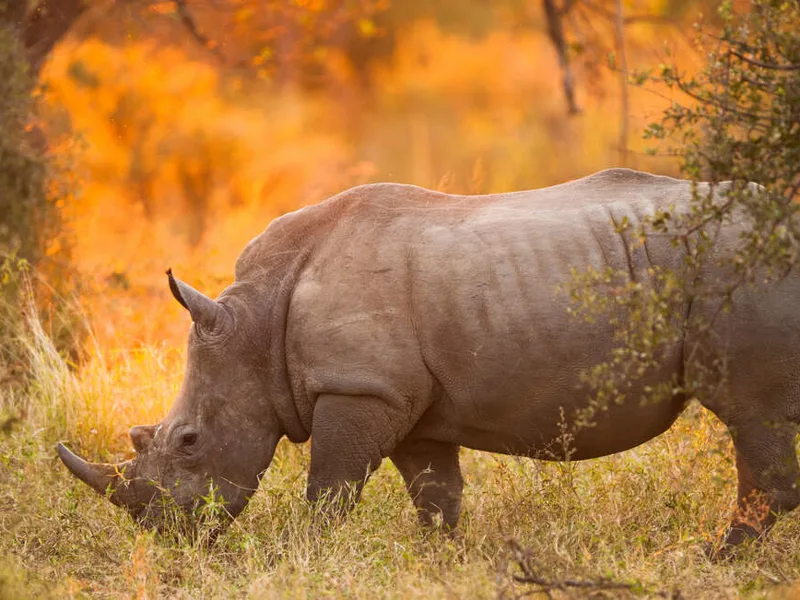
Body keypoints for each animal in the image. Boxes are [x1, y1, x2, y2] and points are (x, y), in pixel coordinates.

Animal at [58, 168, 800, 551]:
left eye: (188, 441)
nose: (168, 536)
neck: (256, 322)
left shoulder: (359, 388)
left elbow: (331, 488)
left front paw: (303, 554)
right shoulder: (405, 399)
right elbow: (436, 494)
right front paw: (439, 560)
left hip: (742, 267)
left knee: (753, 417)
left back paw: (720, 557)